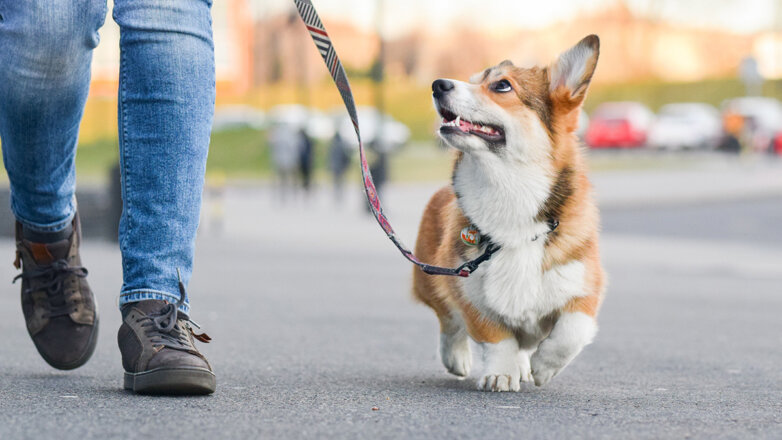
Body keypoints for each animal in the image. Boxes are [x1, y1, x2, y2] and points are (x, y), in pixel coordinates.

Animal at [416, 35, 608, 392]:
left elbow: (571, 331)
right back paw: (457, 357)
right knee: (448, 321)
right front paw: (500, 373)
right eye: (472, 79)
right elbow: (496, 337)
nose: (438, 84)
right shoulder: (467, 289)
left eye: (502, 85)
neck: (509, 191)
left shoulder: (585, 286)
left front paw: (544, 367)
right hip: (430, 277)